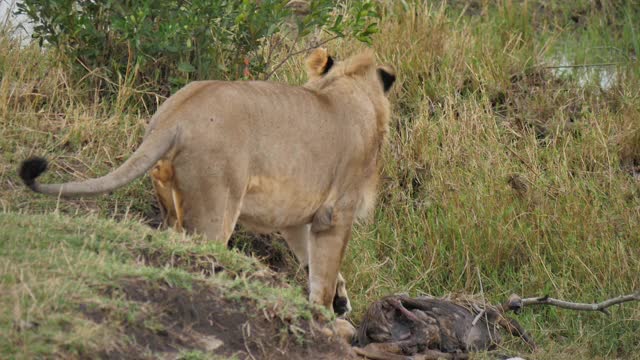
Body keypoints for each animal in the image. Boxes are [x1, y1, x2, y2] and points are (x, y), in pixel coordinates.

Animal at [18, 48, 396, 318]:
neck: (346, 87)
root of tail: (173, 116)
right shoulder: (336, 213)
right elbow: (324, 275)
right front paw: (326, 315)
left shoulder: (297, 219)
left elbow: (313, 263)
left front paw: (340, 302)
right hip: (216, 207)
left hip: (173, 204)